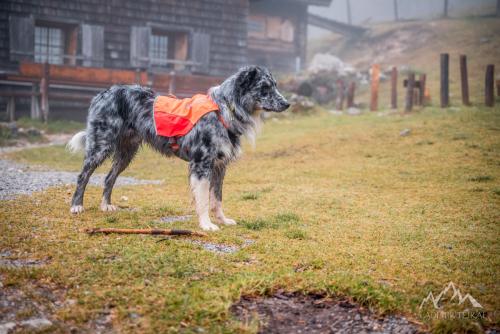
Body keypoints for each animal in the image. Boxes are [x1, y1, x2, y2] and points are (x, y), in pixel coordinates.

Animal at [66, 66, 290, 231]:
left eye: (275, 85)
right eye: (265, 87)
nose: (287, 103)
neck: (224, 109)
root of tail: (103, 93)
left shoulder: (219, 166)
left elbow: (216, 198)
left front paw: (222, 220)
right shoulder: (201, 165)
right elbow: (203, 200)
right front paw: (207, 225)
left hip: (126, 153)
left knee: (109, 177)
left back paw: (105, 205)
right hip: (100, 146)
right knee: (83, 175)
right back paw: (76, 205)